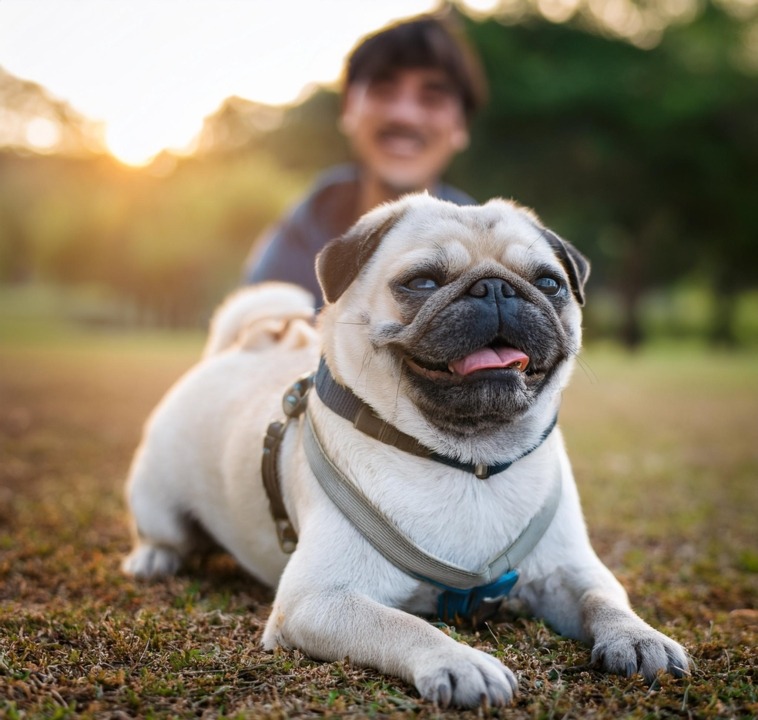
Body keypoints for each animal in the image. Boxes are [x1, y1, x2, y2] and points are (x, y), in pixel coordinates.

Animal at [121, 193, 692, 708]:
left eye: (549, 283)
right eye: (422, 282)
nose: (496, 288)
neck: (469, 462)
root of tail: (238, 349)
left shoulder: (571, 572)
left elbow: (606, 600)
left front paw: (639, 637)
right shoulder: (318, 598)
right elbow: (402, 625)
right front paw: (461, 662)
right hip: (160, 501)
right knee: (163, 534)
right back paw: (152, 558)